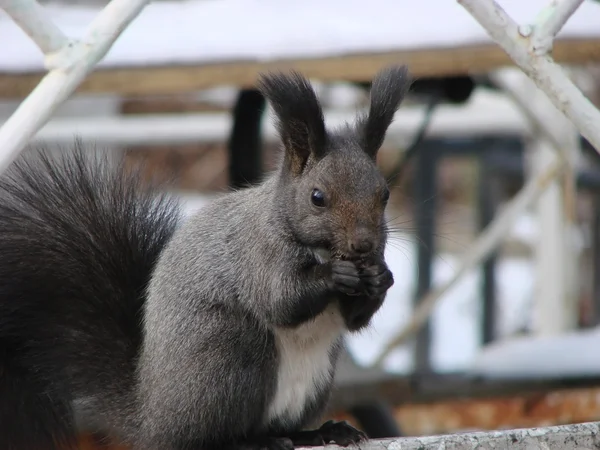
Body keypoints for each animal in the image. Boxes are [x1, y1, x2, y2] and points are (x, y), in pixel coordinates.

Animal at [0, 64, 410, 450]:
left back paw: (324, 431)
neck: (319, 247)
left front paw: (381, 278)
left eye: (385, 194)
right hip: (227, 361)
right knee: (213, 437)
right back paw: (253, 441)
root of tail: (151, 416)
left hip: (313, 381)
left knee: (283, 427)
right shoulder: (258, 253)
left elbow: (354, 319)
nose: (363, 245)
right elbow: (280, 300)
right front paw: (336, 275)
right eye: (317, 197)